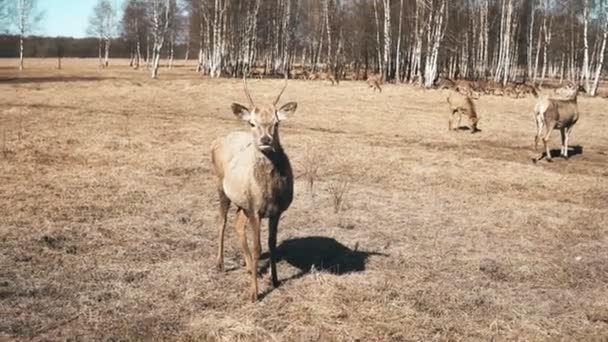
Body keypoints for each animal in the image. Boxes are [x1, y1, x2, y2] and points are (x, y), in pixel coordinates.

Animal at [210, 75, 298, 302]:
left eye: (276, 123)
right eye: (252, 123)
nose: (265, 140)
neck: (269, 193)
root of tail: (216, 141)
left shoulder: (277, 210)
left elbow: (272, 243)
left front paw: (274, 280)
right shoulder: (255, 209)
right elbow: (258, 247)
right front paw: (254, 293)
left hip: (241, 201)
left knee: (237, 223)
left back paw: (250, 267)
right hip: (220, 185)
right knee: (222, 221)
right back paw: (220, 264)